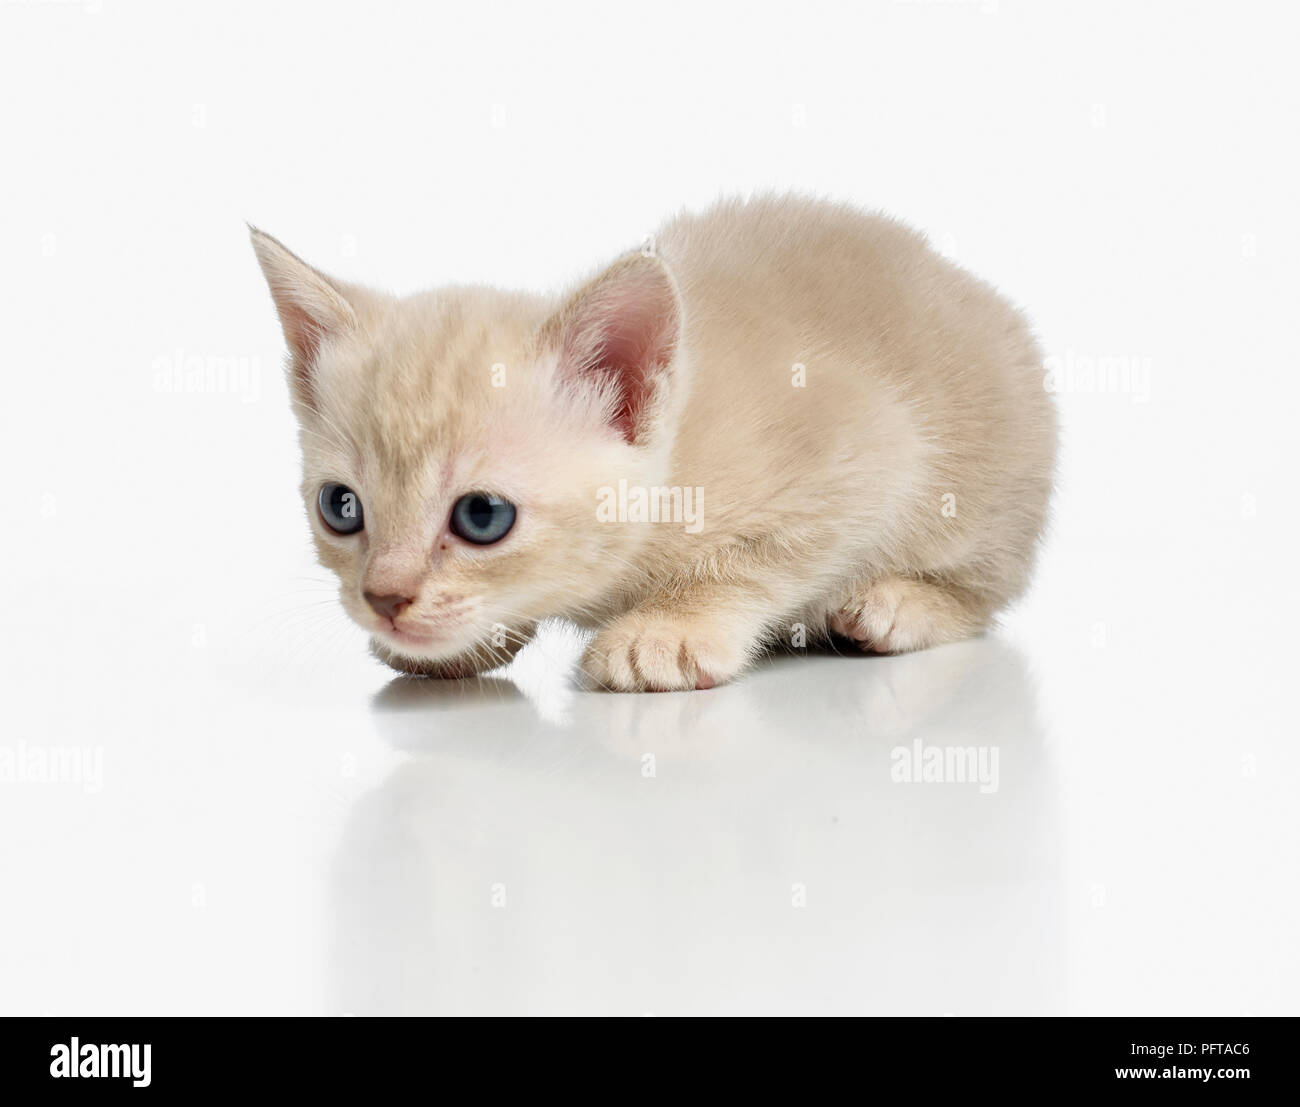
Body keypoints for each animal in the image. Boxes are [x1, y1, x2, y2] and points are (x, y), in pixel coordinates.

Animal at [250, 194, 1055, 686]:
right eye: (341, 508)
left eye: (482, 517)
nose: (384, 598)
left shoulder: (866, 451)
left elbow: (758, 559)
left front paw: (667, 629)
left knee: (986, 590)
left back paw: (897, 606)